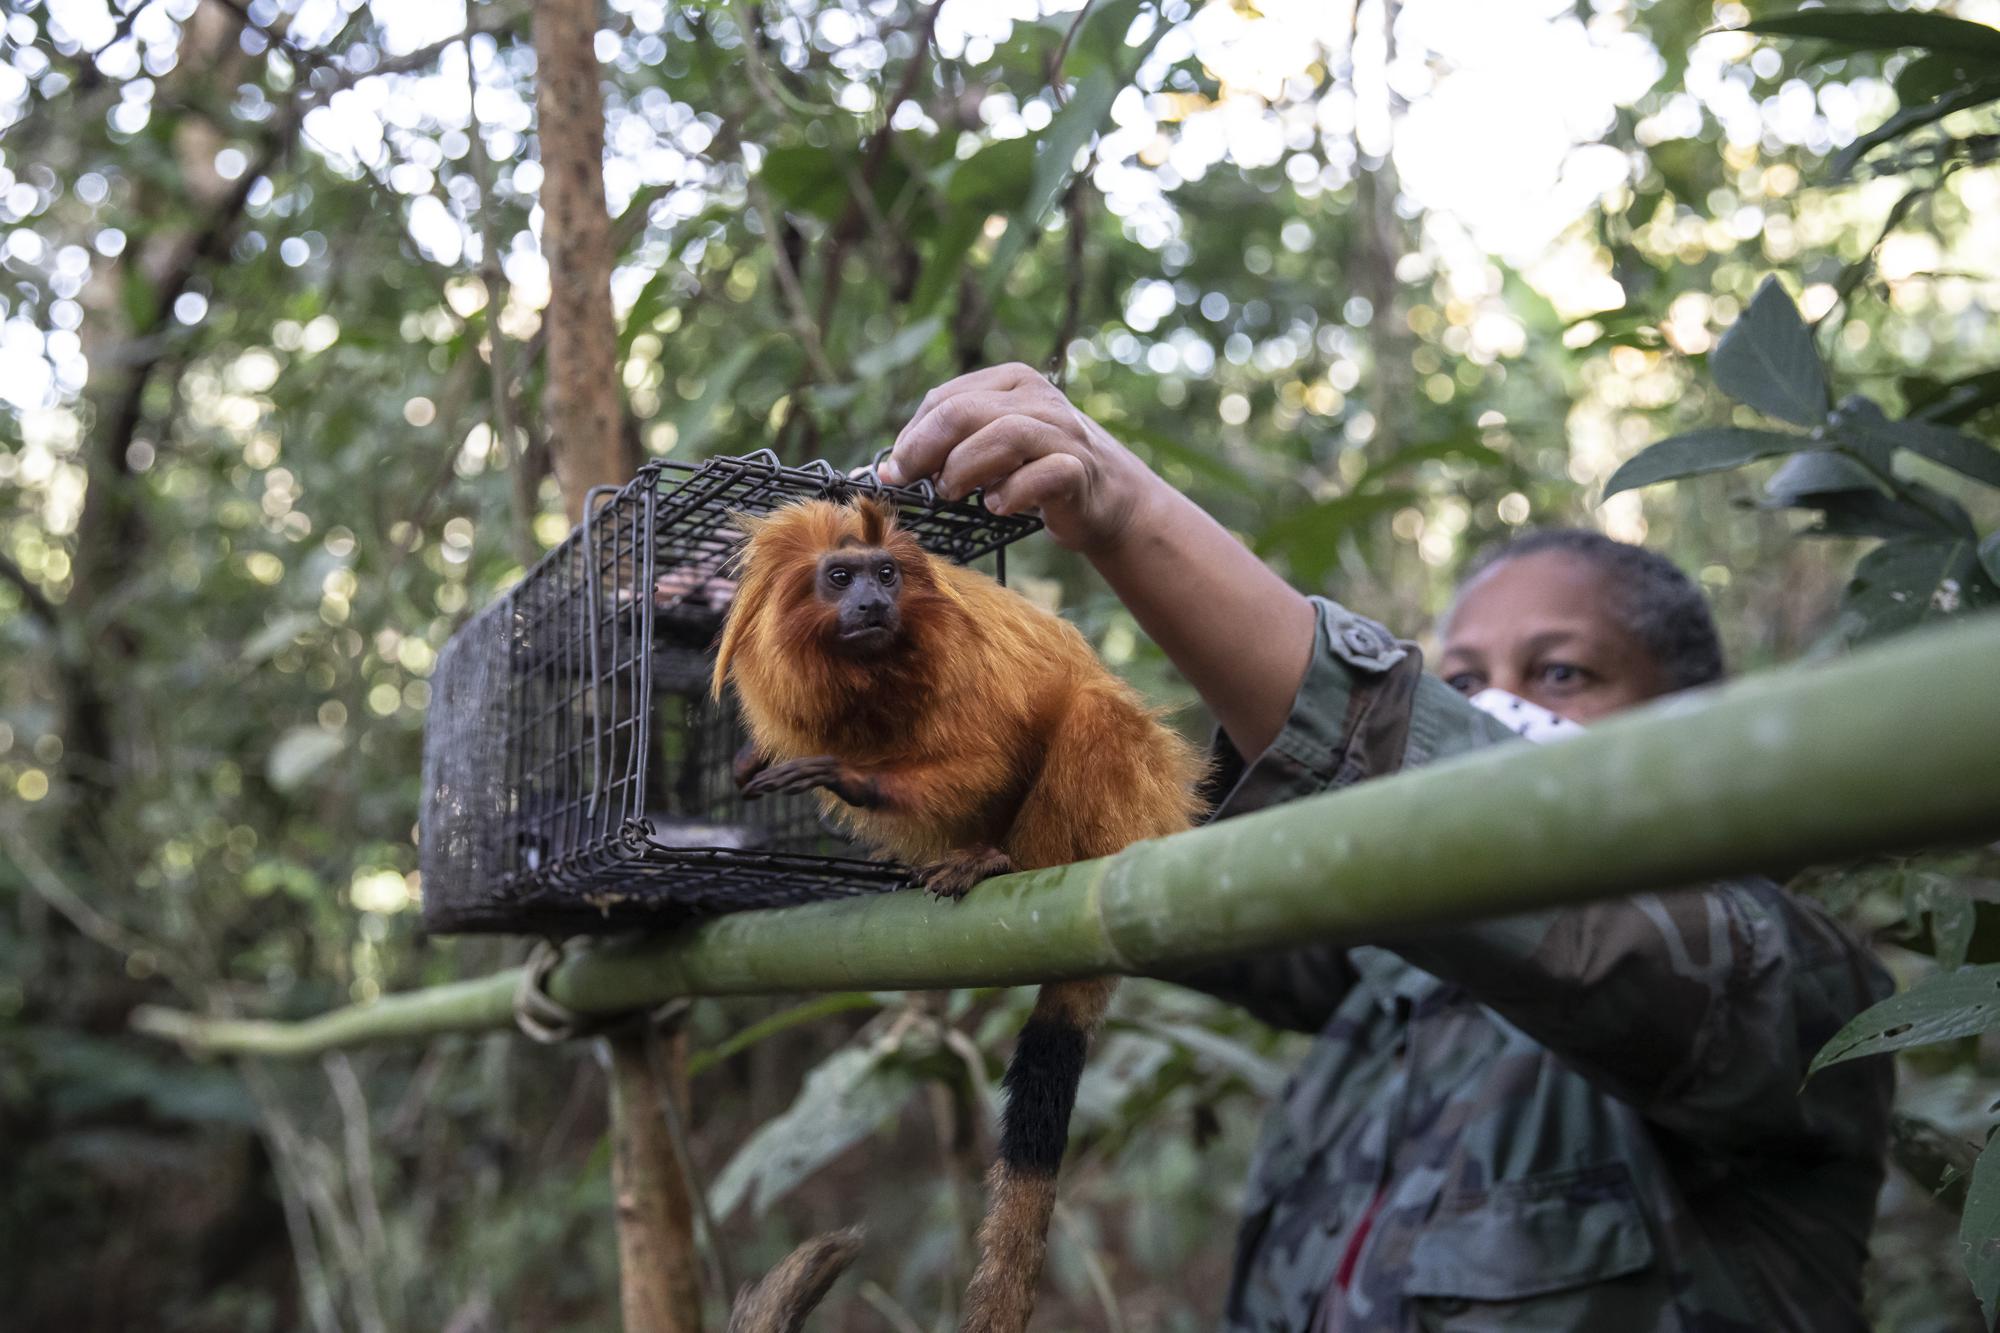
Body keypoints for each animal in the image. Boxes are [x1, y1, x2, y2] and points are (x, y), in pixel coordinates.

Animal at [712, 497, 1204, 1333]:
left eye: (886, 574)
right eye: (839, 578)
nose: (872, 602)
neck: (874, 674)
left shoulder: (964, 671)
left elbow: (989, 753)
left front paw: (857, 777)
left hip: (1121, 811)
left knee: (1090, 711)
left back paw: (1004, 863)